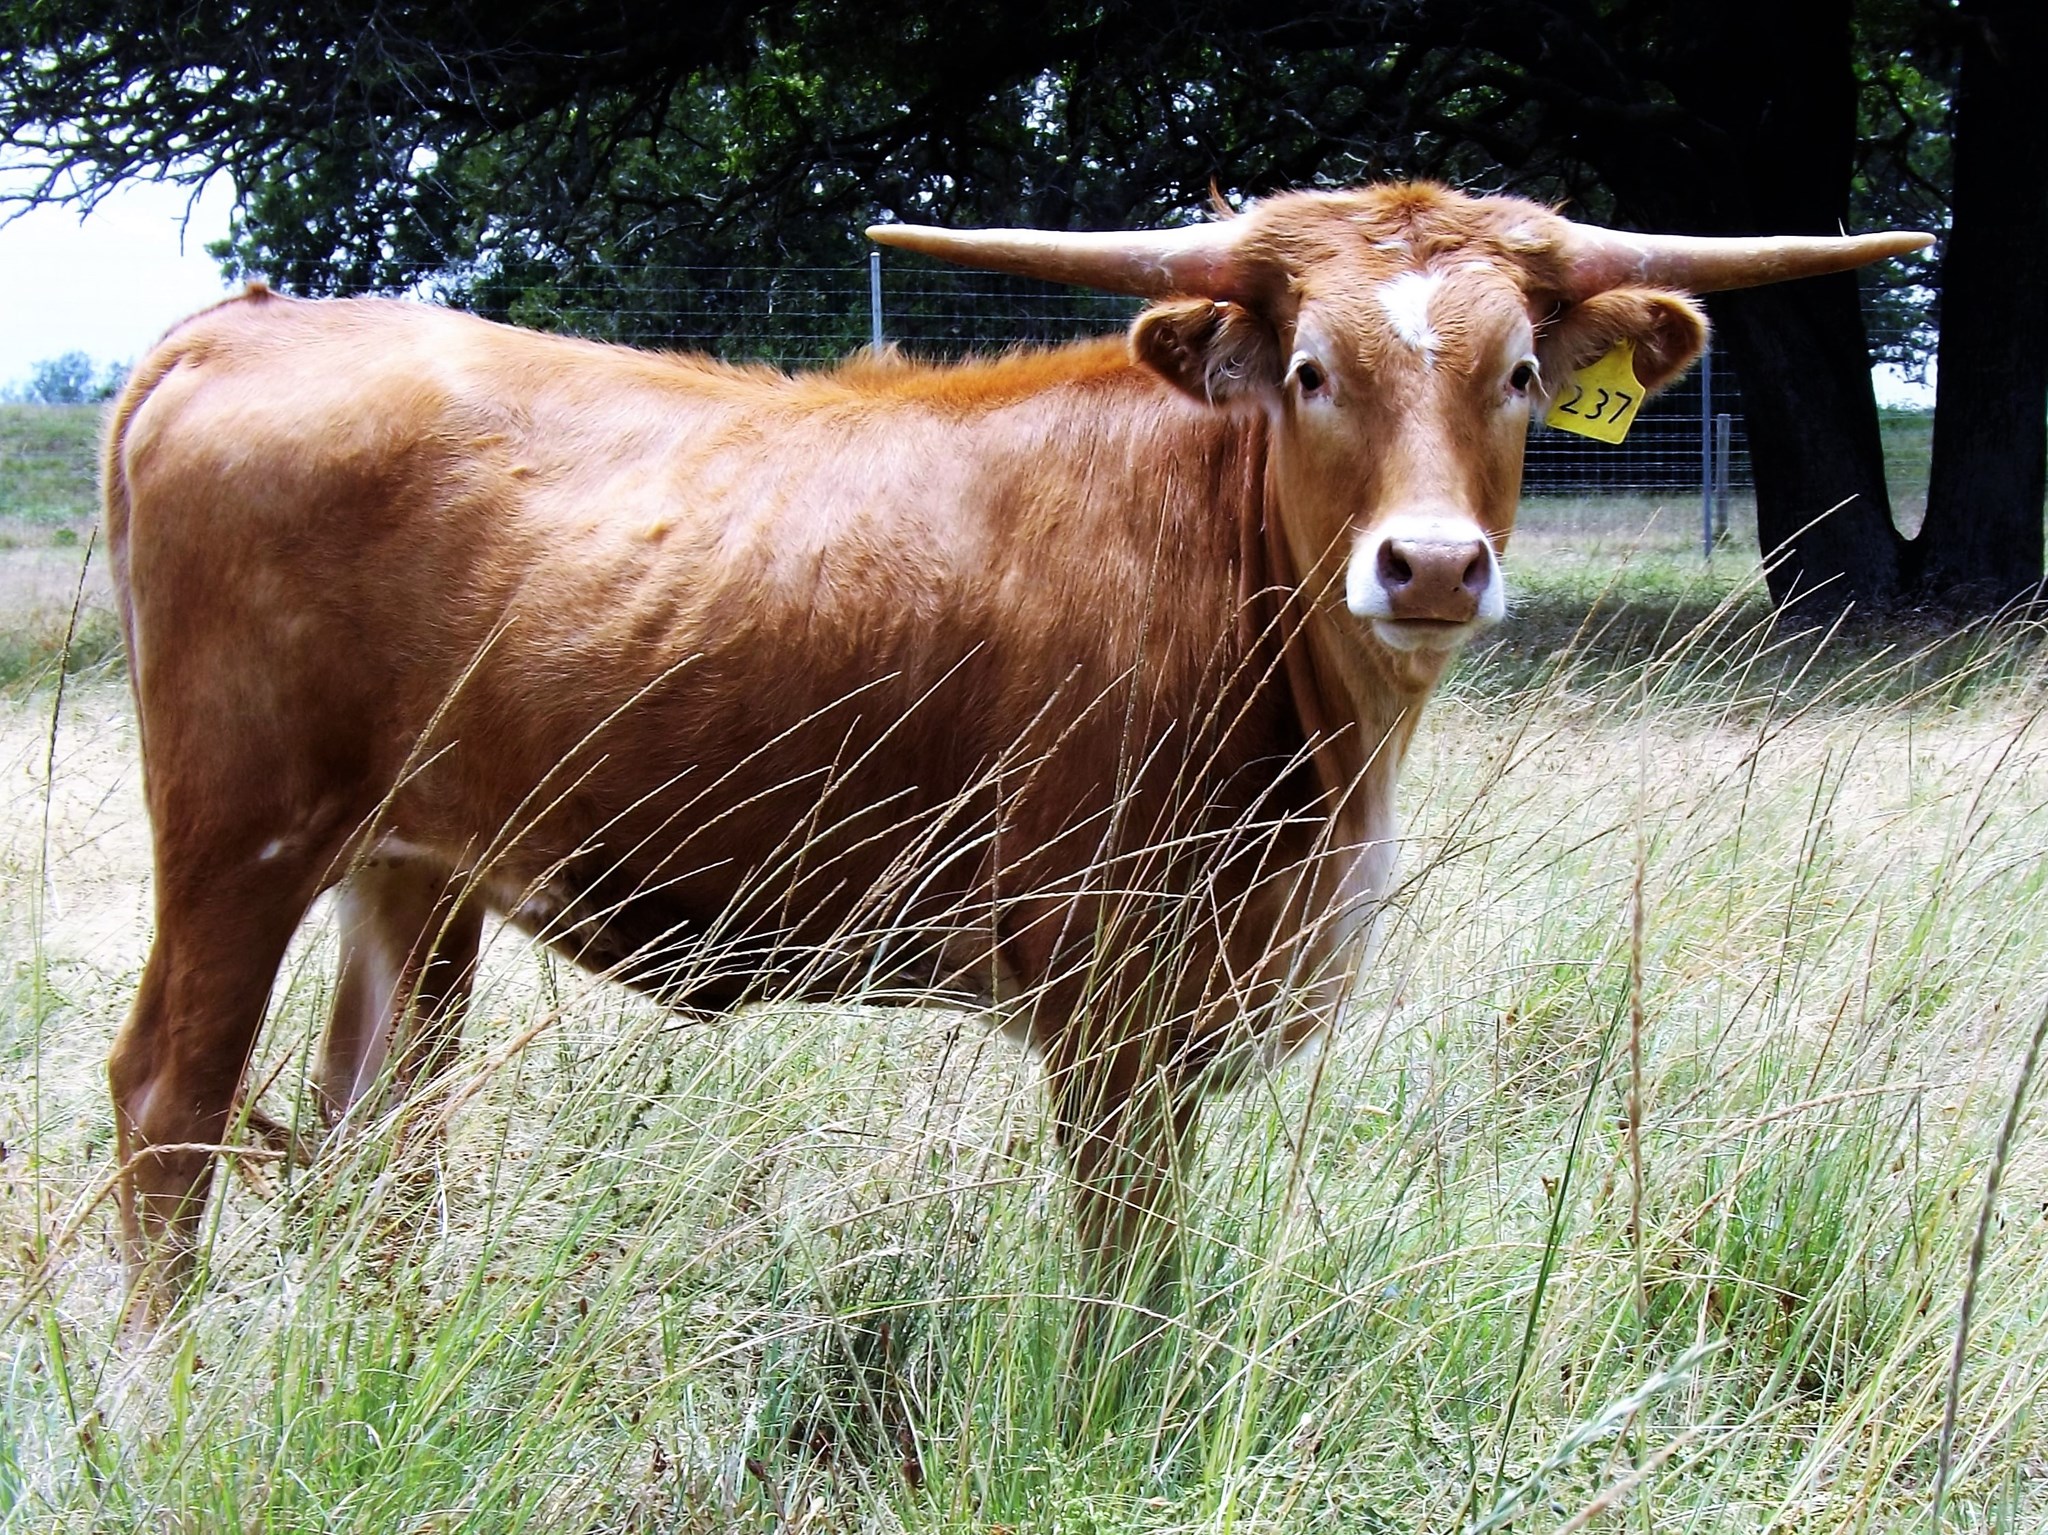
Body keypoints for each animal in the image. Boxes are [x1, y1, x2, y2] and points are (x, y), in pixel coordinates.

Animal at [102, 181, 1926, 1314]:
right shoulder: (1106, 988)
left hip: (414, 870)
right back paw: (156, 1406)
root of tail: (249, 323)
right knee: (167, 1107)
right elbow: (1125, 1258)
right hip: (241, 831)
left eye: (1524, 371)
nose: (1427, 566)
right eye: (1313, 368)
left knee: (372, 1138)